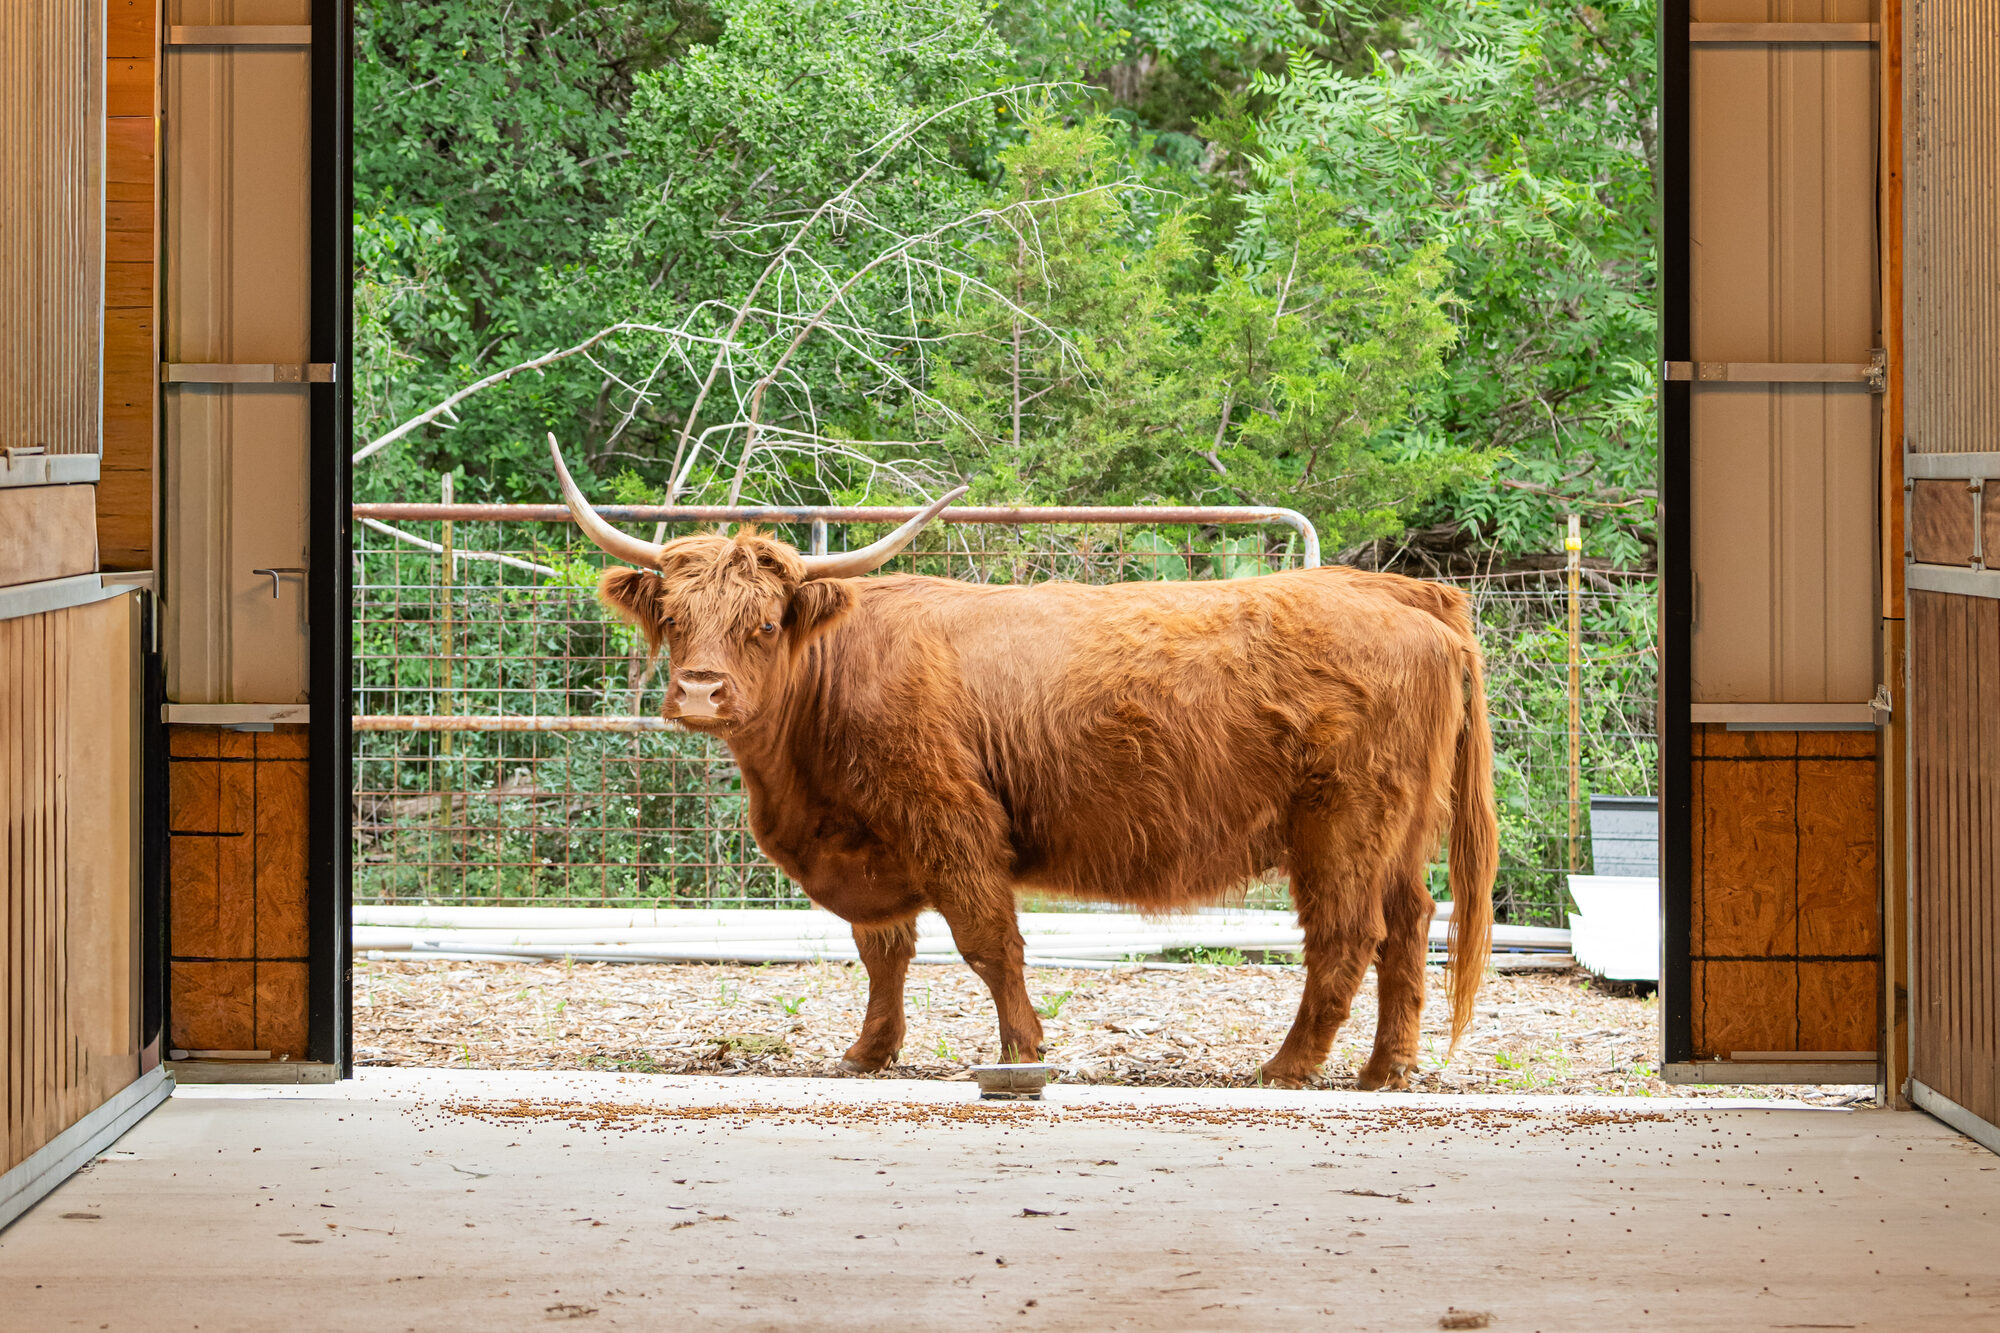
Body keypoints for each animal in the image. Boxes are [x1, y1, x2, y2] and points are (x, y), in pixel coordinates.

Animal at [550, 436, 1496, 1089]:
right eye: (674, 618)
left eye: (764, 623)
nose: (700, 691)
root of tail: (1404, 592)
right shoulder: (873, 842)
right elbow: (883, 950)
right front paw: (868, 1051)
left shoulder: (952, 823)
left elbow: (986, 942)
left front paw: (1021, 1052)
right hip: (1399, 828)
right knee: (1411, 925)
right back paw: (1386, 1069)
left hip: (1341, 821)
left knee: (1347, 933)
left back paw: (1288, 1066)